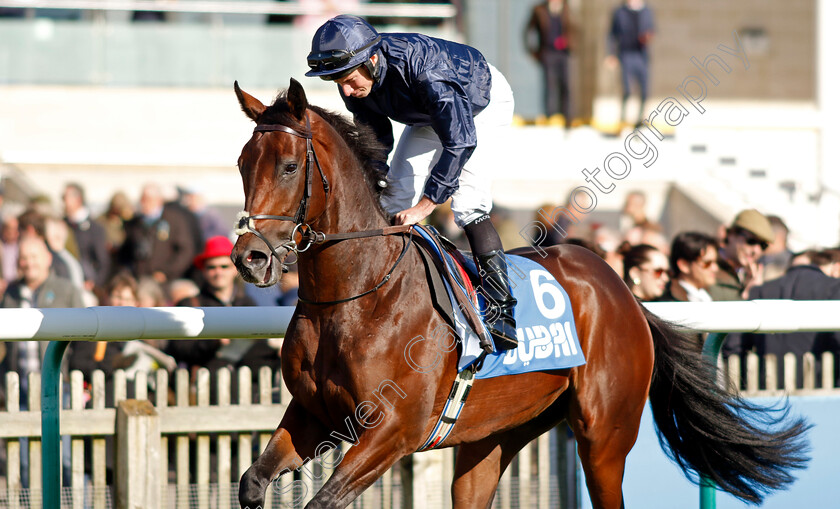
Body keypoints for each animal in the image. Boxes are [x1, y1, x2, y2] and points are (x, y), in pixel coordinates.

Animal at [230, 77, 808, 506]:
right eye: (241, 164)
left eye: (289, 166)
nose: (249, 257)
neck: (357, 295)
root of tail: (622, 290)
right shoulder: (313, 415)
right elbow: (252, 482)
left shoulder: (394, 428)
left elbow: (323, 500)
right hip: (494, 435)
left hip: (603, 438)